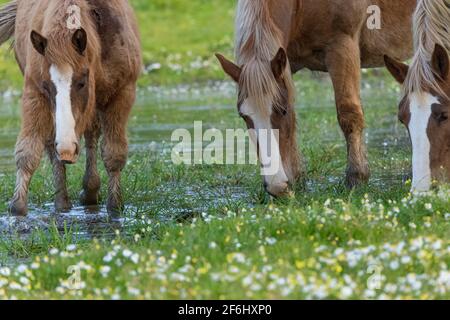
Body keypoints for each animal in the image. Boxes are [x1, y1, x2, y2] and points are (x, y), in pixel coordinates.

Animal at [0, 0, 142, 216]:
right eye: (46, 86)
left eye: (82, 82)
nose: (67, 150)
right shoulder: (34, 92)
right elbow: (28, 151)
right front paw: (18, 207)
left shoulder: (123, 92)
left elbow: (114, 153)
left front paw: (115, 206)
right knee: (52, 144)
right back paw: (63, 201)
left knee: (92, 136)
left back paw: (90, 190)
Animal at [216, 0, 416, 196]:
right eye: (244, 116)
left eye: (282, 111)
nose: (276, 186)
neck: (301, 6)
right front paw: (297, 180)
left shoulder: (342, 47)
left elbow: (349, 114)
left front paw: (356, 178)